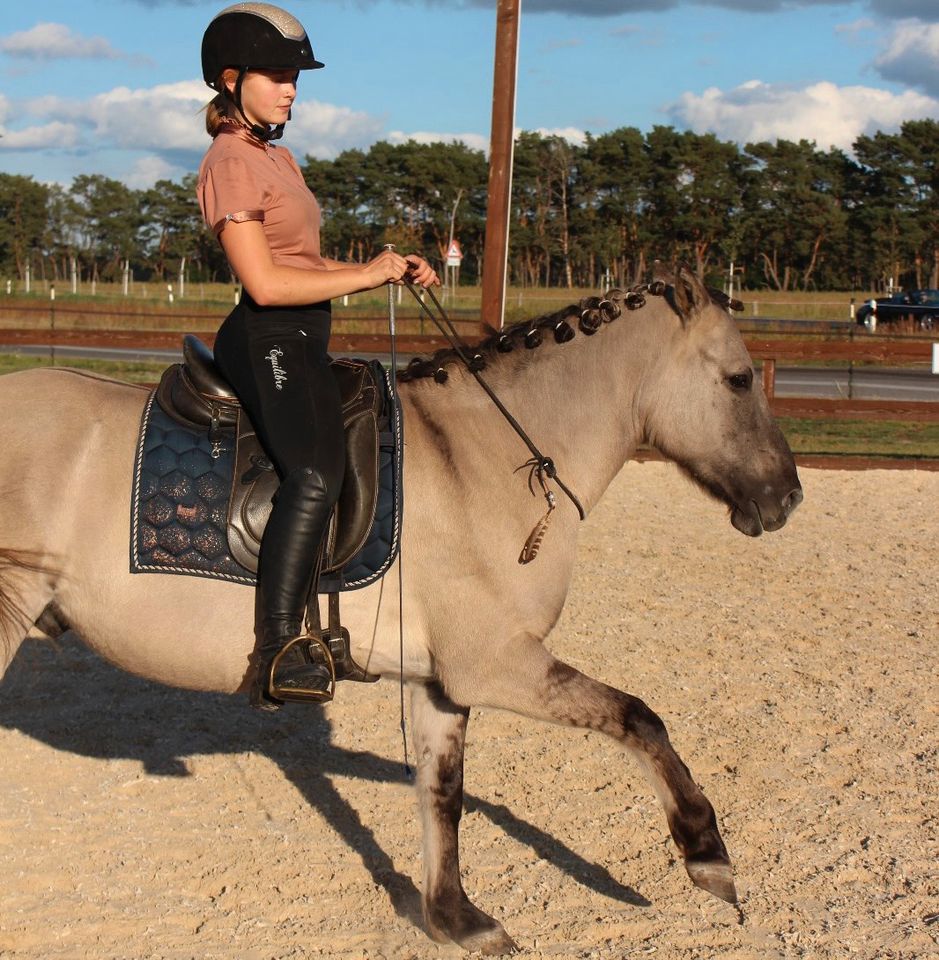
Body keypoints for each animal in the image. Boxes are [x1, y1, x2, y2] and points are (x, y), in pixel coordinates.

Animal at [0, 264, 800, 952]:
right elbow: (638, 718)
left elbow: (441, 793)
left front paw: (455, 919)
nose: (787, 497)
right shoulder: (496, 665)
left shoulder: (440, 680)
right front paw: (707, 854)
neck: (479, 456)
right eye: (736, 380)